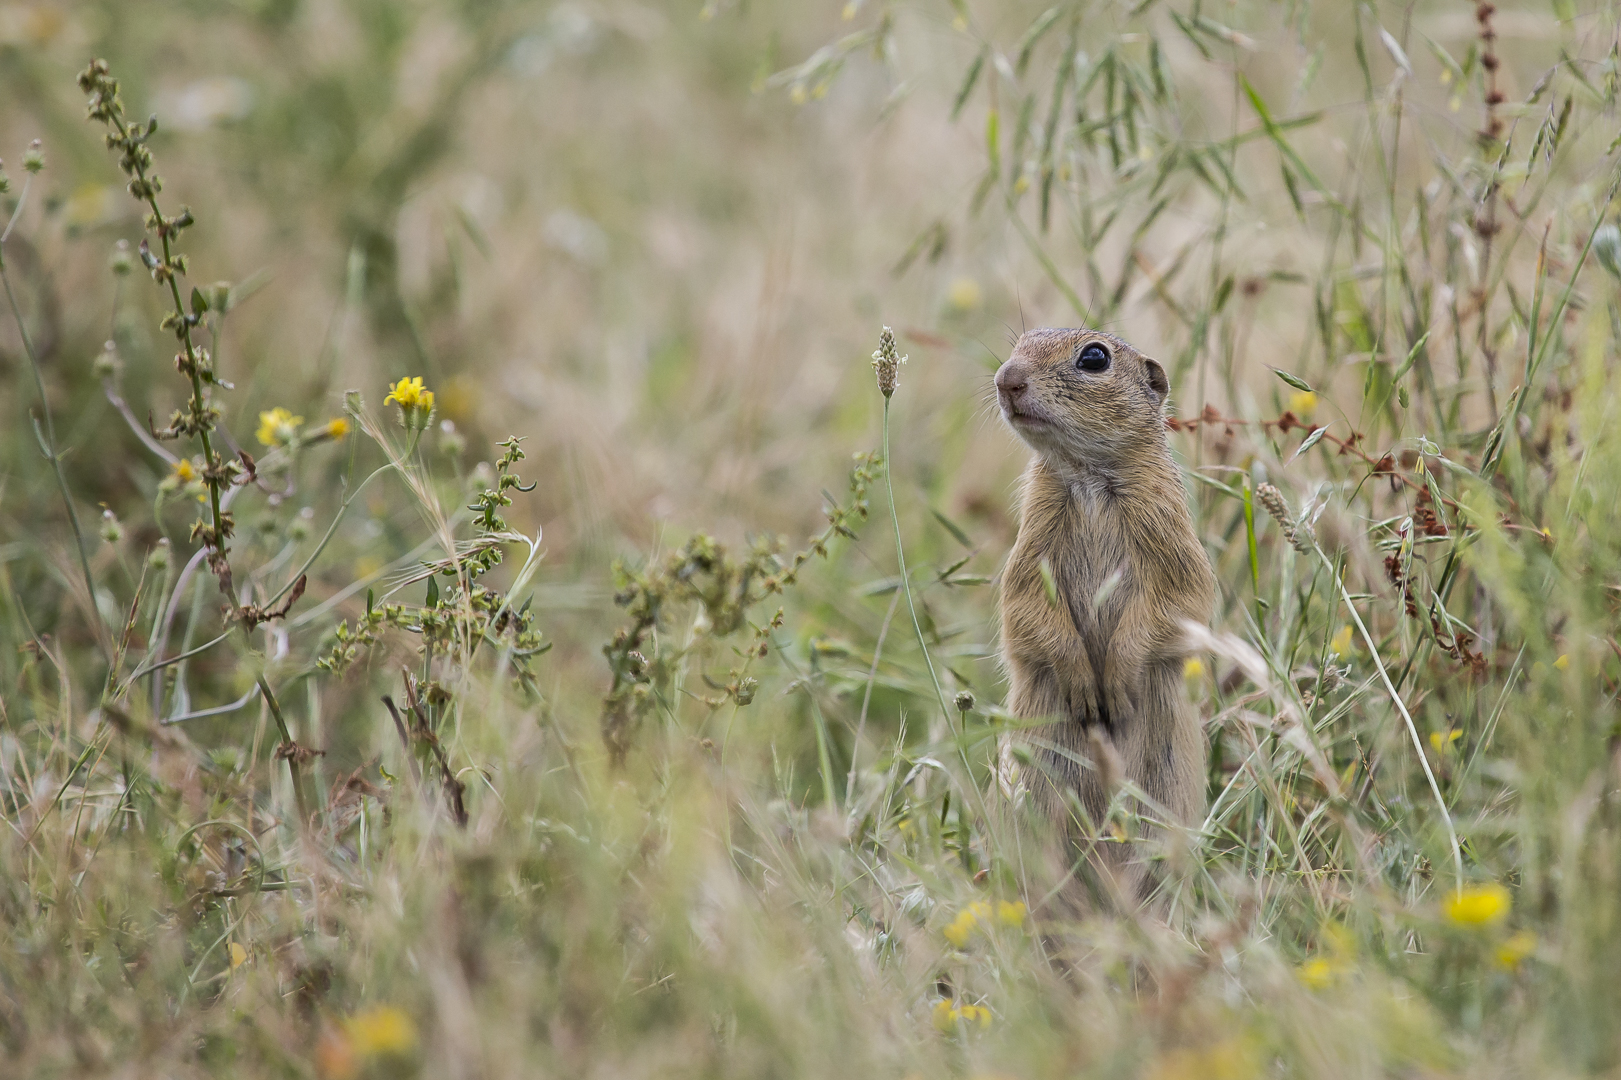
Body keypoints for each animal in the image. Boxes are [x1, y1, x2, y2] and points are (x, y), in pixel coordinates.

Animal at [985, 324, 1218, 901]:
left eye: (1094, 358)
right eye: (1020, 340)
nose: (1006, 379)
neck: (1087, 477)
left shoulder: (1172, 543)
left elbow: (1171, 606)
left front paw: (1114, 686)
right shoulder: (1030, 552)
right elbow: (1027, 609)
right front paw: (1085, 688)